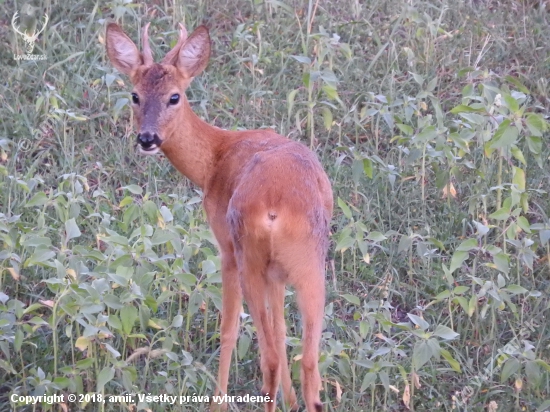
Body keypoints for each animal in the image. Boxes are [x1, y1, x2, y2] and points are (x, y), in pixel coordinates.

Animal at [106, 21, 334, 412]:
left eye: (174, 96)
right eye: (135, 95)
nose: (147, 139)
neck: (215, 158)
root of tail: (275, 206)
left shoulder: (225, 247)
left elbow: (228, 329)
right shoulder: (277, 274)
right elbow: (282, 330)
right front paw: (290, 400)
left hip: (246, 256)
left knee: (269, 355)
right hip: (308, 265)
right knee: (308, 361)